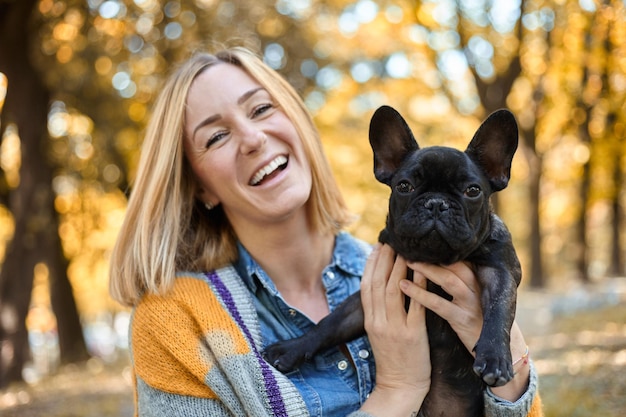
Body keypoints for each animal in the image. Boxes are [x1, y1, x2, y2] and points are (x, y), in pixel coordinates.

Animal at [264, 105, 520, 414]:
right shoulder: (362, 299)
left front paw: (495, 358)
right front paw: (291, 349)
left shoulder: (501, 271)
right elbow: (329, 323)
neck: (435, 259)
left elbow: (499, 311)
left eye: (472, 191)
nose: (436, 203)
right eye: (404, 186)